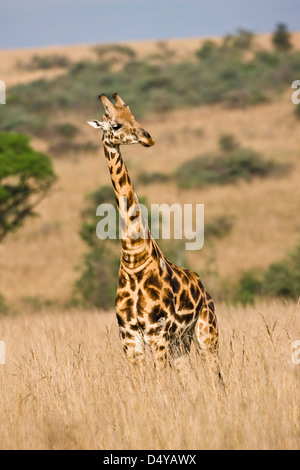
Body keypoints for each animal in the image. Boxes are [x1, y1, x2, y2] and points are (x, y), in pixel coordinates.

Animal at [86, 92, 223, 386]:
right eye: (115, 124)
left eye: (134, 116)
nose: (148, 137)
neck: (133, 256)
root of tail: (203, 287)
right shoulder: (130, 338)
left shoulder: (156, 333)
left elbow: (161, 383)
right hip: (180, 343)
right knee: (190, 380)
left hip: (206, 332)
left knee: (216, 376)